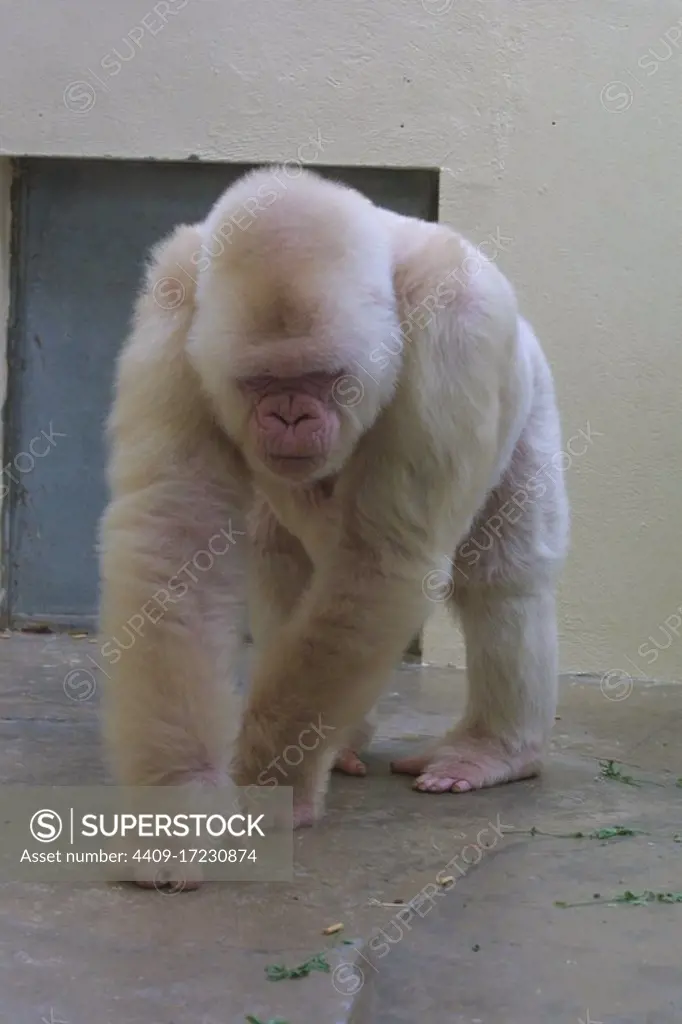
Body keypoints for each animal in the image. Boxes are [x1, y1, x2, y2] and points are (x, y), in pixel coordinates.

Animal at [98, 169, 569, 847]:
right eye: (259, 382)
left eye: (324, 377)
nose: (290, 416)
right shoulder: (174, 309)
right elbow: (173, 538)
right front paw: (180, 803)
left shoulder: (455, 326)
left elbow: (385, 557)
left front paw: (268, 781)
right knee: (285, 566)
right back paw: (345, 738)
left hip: (531, 391)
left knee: (503, 580)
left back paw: (496, 749)